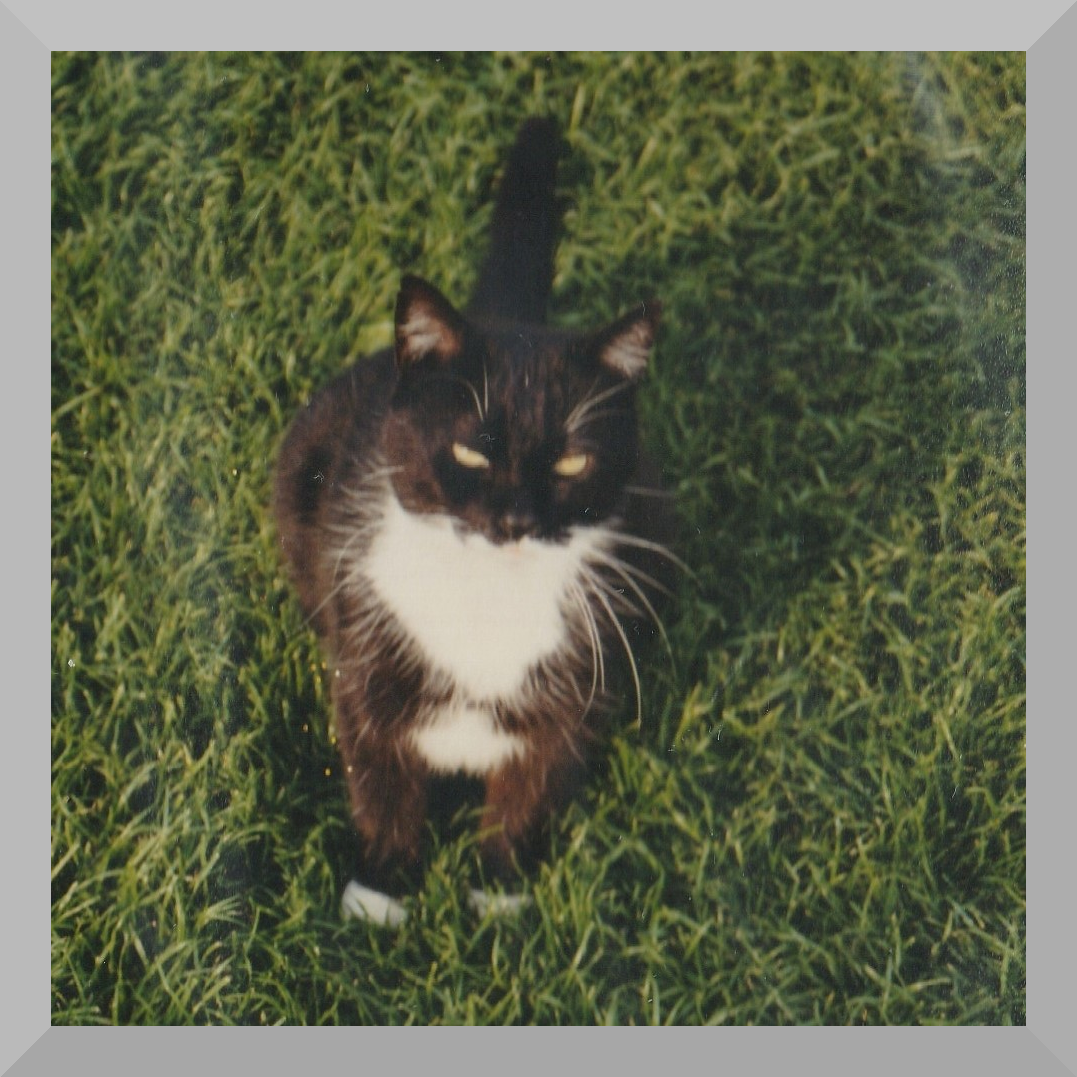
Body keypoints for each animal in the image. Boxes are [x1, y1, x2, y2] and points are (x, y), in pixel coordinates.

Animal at [273, 117, 676, 921]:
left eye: (571, 464)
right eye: (469, 451)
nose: (514, 520)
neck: (486, 601)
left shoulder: (571, 697)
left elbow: (529, 793)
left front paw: (499, 893)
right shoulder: (365, 667)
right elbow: (381, 782)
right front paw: (380, 893)